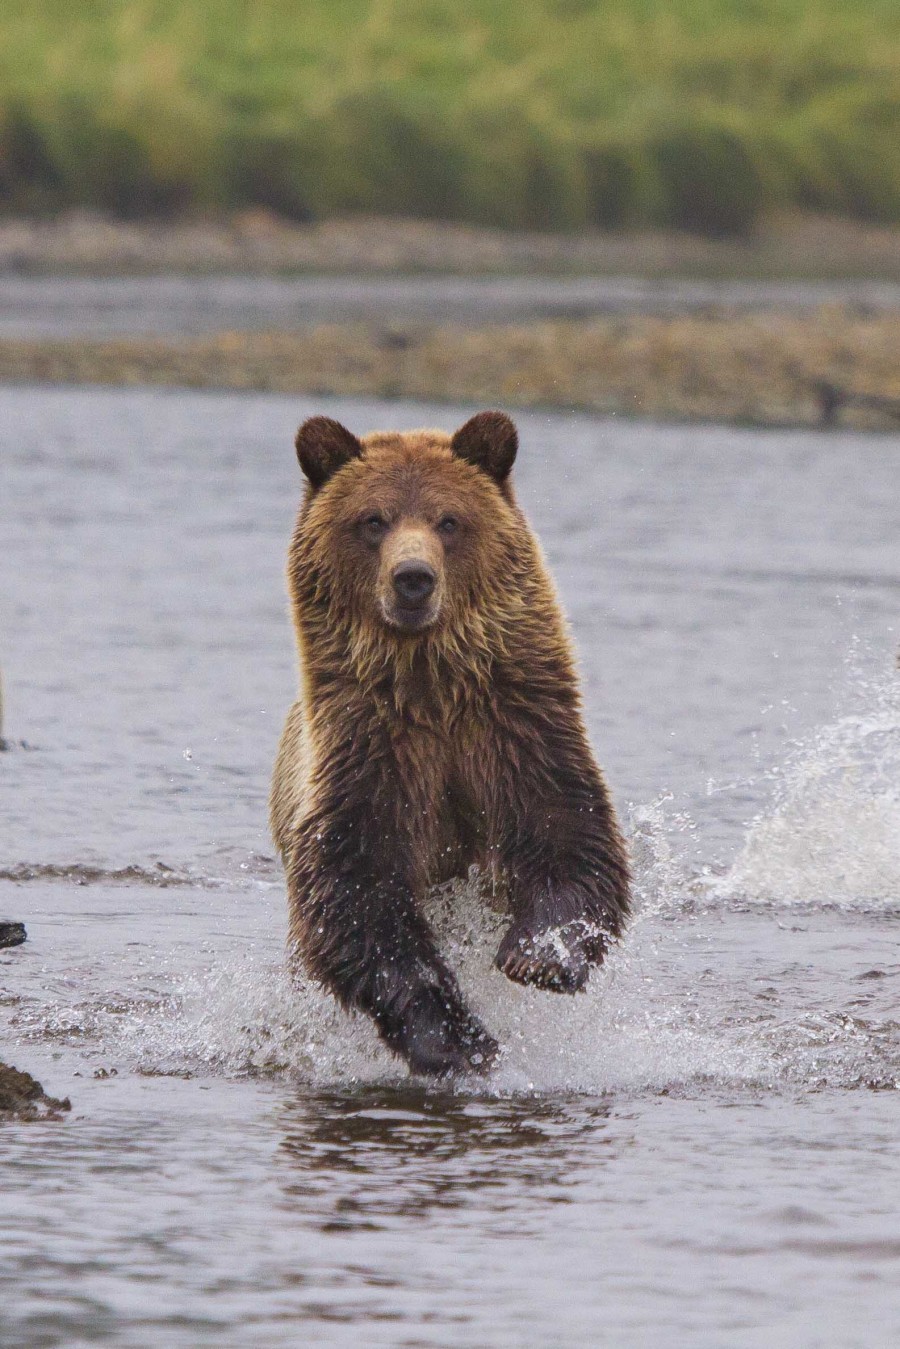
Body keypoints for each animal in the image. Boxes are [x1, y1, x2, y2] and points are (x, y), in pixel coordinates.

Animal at [271, 407, 631, 1073]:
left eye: (449, 519)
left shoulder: (517, 731)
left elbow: (571, 840)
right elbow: (357, 896)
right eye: (373, 519)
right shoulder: (368, 752)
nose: (413, 578)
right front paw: (456, 1039)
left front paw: (536, 956)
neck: (431, 690)